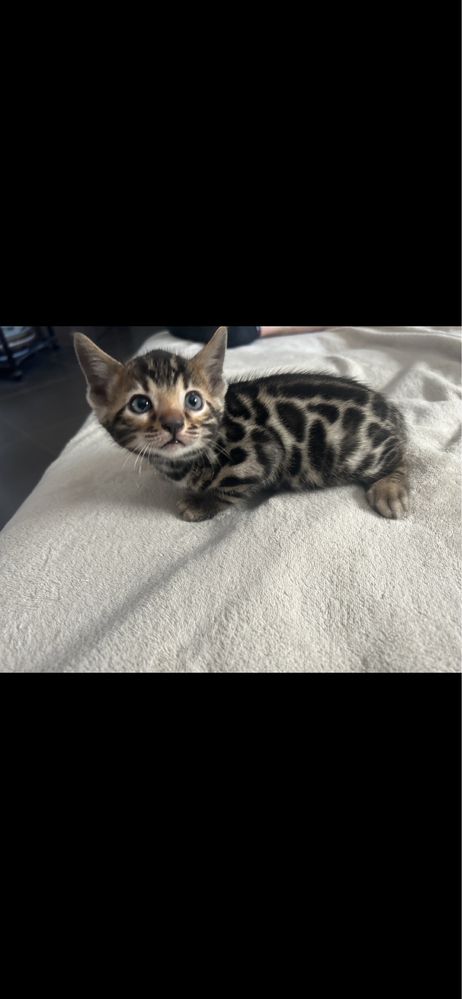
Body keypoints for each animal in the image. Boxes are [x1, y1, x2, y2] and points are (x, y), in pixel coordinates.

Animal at [74, 326, 410, 524]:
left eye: (193, 400)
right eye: (140, 405)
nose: (174, 424)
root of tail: (392, 411)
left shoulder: (260, 453)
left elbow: (229, 489)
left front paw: (201, 504)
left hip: (362, 454)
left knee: (403, 456)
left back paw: (389, 488)